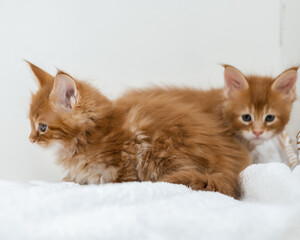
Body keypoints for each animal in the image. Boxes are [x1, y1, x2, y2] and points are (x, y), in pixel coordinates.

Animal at [27, 62, 248, 199]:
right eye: (30, 123)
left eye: (42, 127)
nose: (30, 139)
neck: (91, 134)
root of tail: (228, 169)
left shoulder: (125, 156)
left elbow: (119, 179)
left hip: (162, 151)